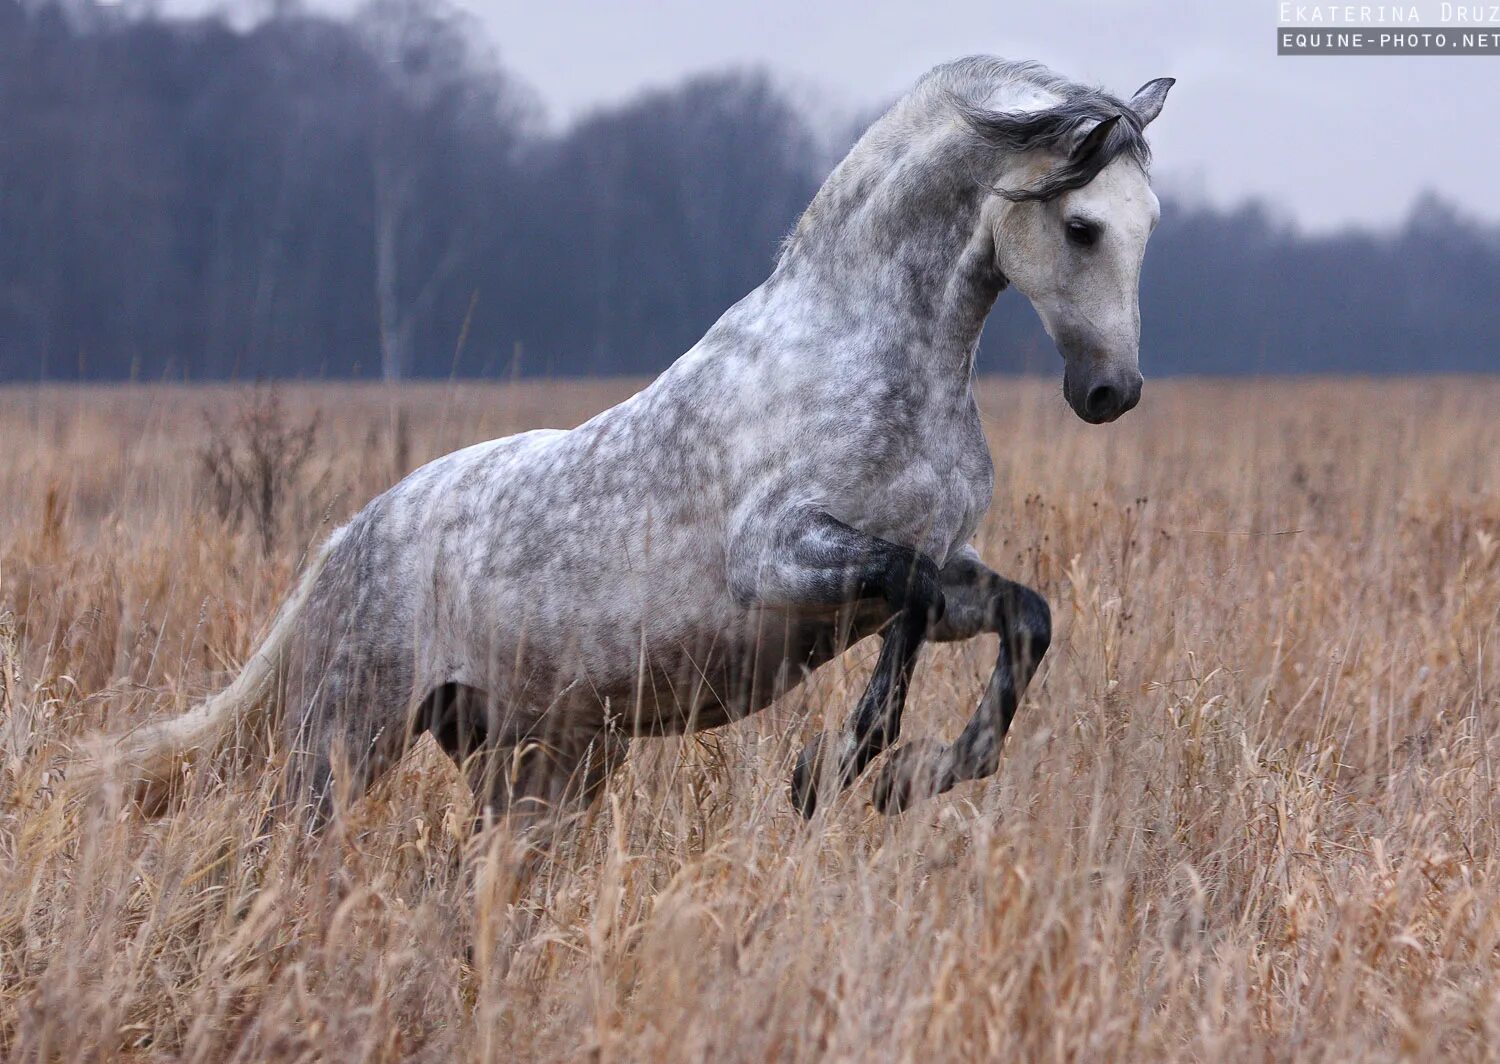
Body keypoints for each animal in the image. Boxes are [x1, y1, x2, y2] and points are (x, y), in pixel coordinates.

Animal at [85, 54, 1170, 828]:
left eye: (1148, 223)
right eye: (1081, 225)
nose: (1111, 391)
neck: (866, 350)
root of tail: (344, 542)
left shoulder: (945, 566)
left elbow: (1020, 617)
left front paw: (916, 773)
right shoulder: (781, 560)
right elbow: (906, 596)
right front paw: (838, 767)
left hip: (537, 771)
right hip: (342, 748)